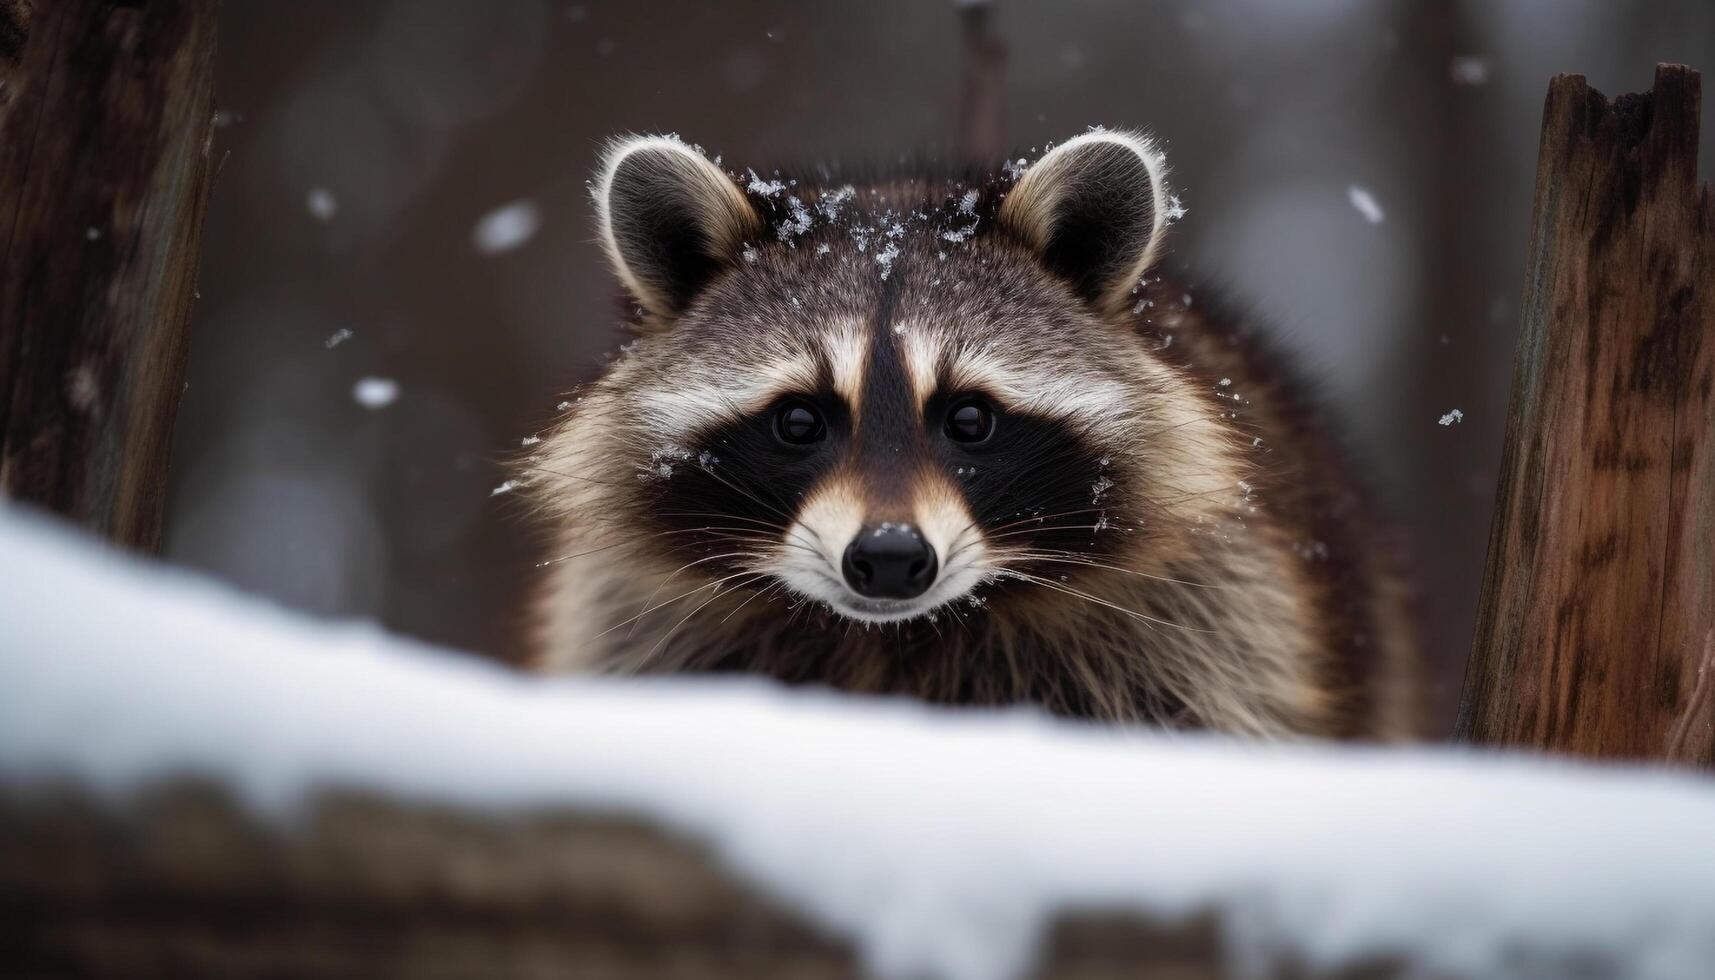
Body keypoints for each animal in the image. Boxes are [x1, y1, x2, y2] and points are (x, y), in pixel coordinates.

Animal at [521, 132, 1420, 744]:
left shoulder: (1205, 624)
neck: (892, 638)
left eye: (969, 419)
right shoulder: (646, 625)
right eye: (799, 421)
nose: (888, 559)